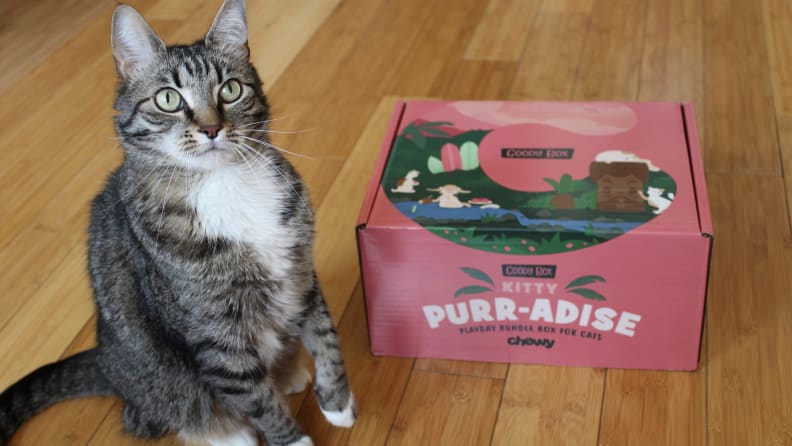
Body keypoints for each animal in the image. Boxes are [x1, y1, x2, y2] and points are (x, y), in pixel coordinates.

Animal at [0, 1, 354, 444]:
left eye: (230, 90)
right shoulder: (217, 339)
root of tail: (106, 361)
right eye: (168, 99)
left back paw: (290, 372)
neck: (223, 182)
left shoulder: (300, 271)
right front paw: (294, 438)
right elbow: (258, 398)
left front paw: (338, 402)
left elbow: (325, 335)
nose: (212, 128)